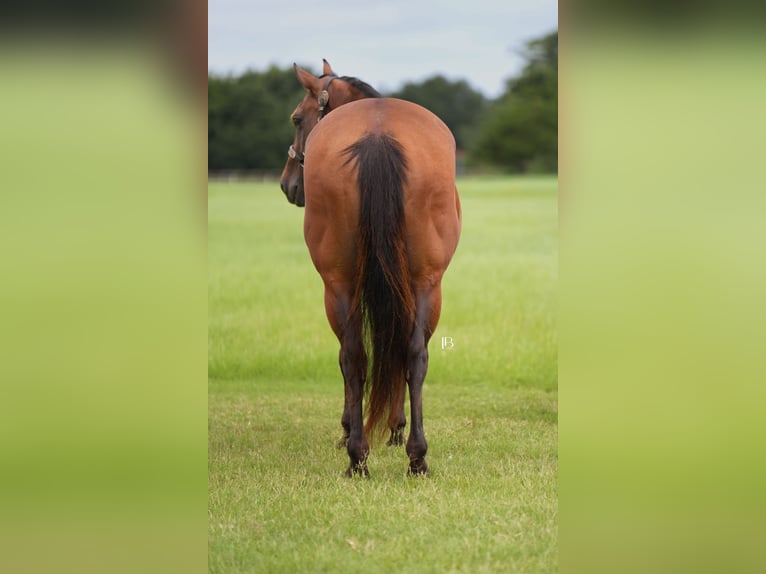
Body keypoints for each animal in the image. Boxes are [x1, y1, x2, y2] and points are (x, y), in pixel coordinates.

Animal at [279, 60, 461, 477]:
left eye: (297, 118)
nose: (287, 183)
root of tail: (378, 135)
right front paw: (391, 429)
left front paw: (361, 428)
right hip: (425, 283)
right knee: (408, 354)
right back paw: (410, 456)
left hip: (341, 286)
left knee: (357, 355)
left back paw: (361, 452)